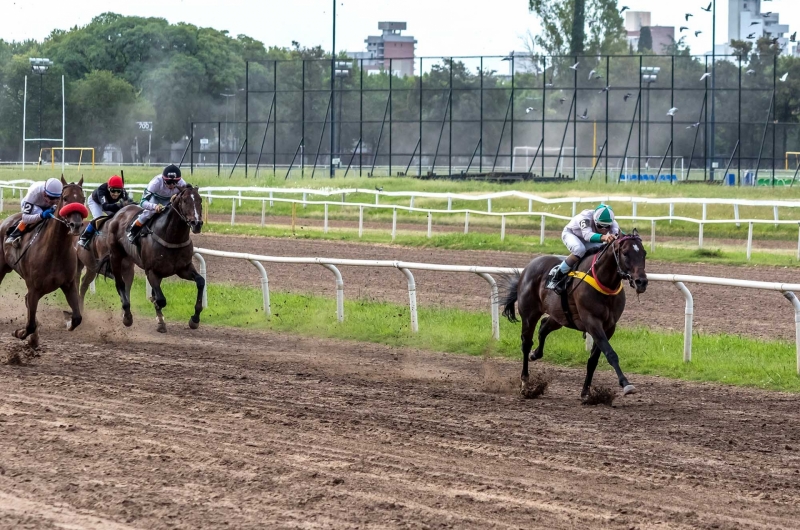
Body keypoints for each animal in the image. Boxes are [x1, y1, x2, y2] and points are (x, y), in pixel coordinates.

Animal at [0, 175, 87, 346]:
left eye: (82, 199)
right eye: (65, 198)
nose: (76, 225)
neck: (55, 252)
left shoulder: (69, 284)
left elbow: (77, 318)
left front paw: (68, 322)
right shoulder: (34, 288)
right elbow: (30, 325)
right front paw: (19, 332)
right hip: (1, 268)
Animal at [97, 186, 205, 332]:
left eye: (200, 200)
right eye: (184, 200)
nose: (197, 223)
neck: (172, 237)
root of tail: (121, 210)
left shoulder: (184, 268)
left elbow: (200, 281)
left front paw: (194, 319)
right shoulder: (151, 271)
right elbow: (160, 299)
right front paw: (157, 312)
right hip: (116, 256)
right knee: (120, 284)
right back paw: (127, 316)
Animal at [500, 229, 648, 398]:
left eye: (644, 253)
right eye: (625, 253)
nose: (641, 282)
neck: (604, 283)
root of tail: (529, 266)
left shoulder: (609, 326)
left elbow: (593, 360)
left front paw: (586, 392)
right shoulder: (592, 322)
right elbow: (610, 353)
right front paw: (626, 383)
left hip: (560, 316)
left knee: (544, 327)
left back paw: (535, 354)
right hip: (529, 314)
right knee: (526, 343)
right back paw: (525, 383)